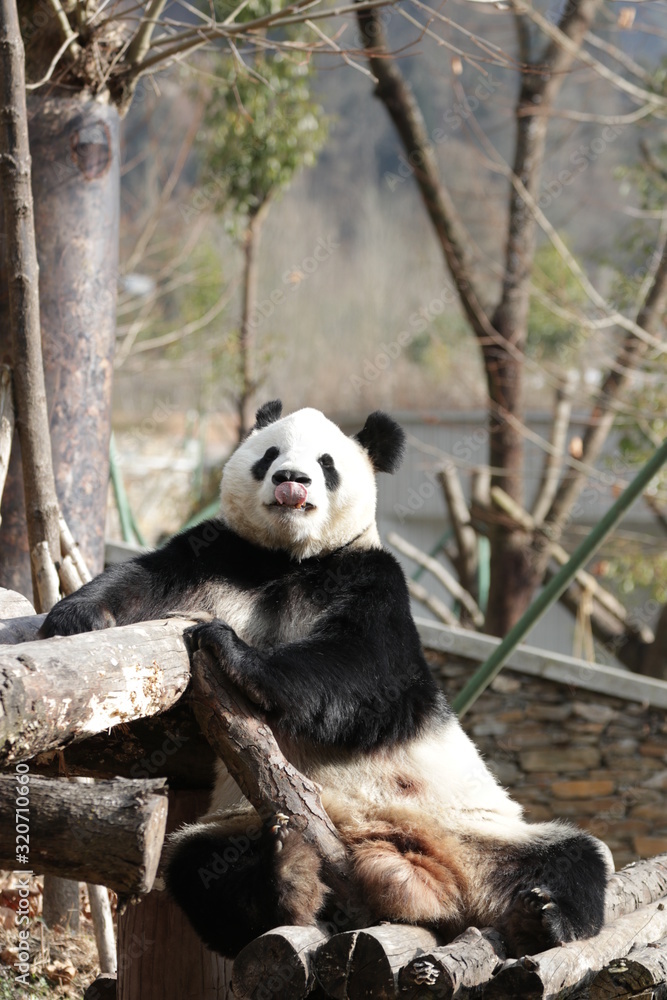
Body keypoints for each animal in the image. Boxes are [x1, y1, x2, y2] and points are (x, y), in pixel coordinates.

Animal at [41, 400, 611, 959]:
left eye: (326, 463)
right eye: (269, 454)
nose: (291, 479)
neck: (290, 559)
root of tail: (410, 863)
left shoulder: (370, 578)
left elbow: (372, 671)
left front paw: (236, 653)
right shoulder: (221, 558)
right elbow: (145, 580)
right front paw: (75, 616)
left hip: (477, 829)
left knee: (574, 855)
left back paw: (546, 920)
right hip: (239, 820)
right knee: (203, 871)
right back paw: (286, 877)